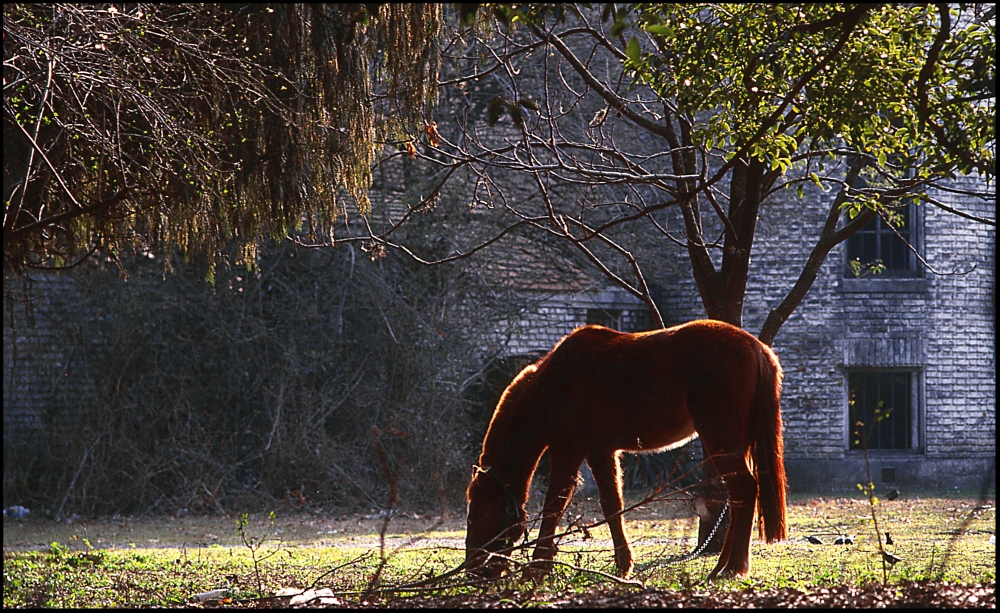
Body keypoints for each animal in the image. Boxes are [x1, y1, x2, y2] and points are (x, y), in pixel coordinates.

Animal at [464, 318, 784, 580]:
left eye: (477, 514)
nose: (473, 571)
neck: (553, 383)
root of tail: (756, 347)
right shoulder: (601, 453)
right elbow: (612, 505)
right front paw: (623, 565)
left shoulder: (567, 451)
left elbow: (554, 505)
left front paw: (537, 568)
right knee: (738, 496)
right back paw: (721, 566)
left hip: (721, 439)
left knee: (744, 489)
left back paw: (733, 567)